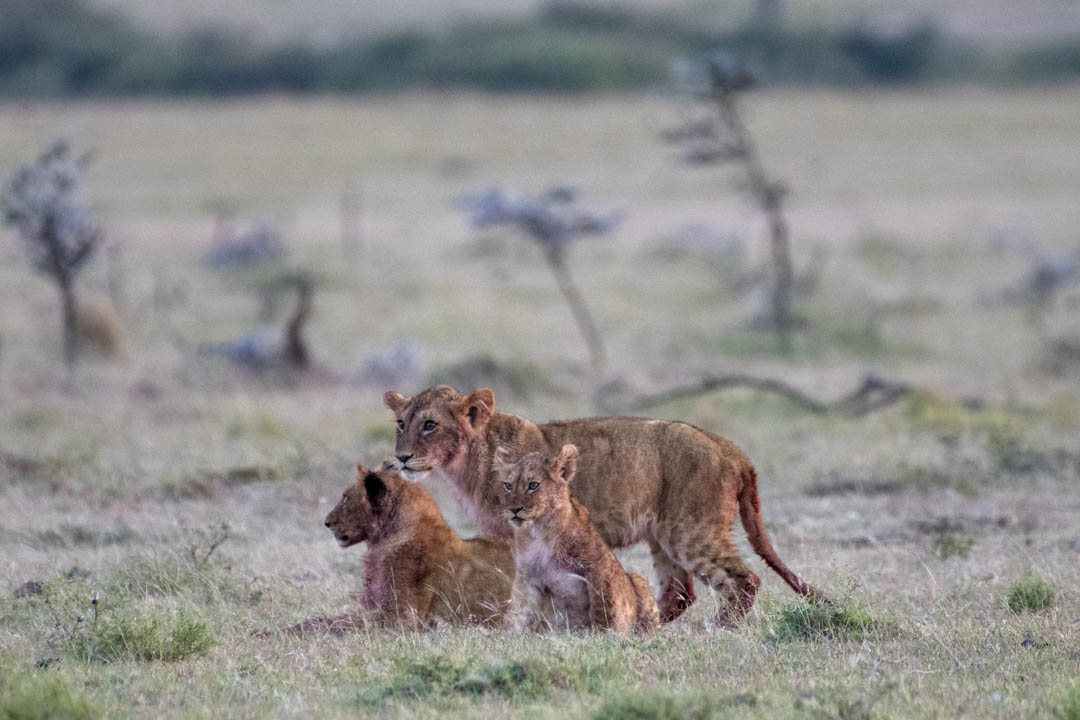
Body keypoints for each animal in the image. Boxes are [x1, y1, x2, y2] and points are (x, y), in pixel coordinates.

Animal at [309, 461, 514, 631]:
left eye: (345, 498)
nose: (327, 522)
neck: (384, 538)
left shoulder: (402, 616)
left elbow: (339, 623)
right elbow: (332, 619)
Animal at [497, 444, 659, 633]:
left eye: (533, 485)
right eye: (508, 486)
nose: (513, 510)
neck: (541, 532)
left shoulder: (599, 570)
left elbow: (603, 609)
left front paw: (603, 634)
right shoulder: (527, 576)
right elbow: (518, 610)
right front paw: (509, 633)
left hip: (637, 580)